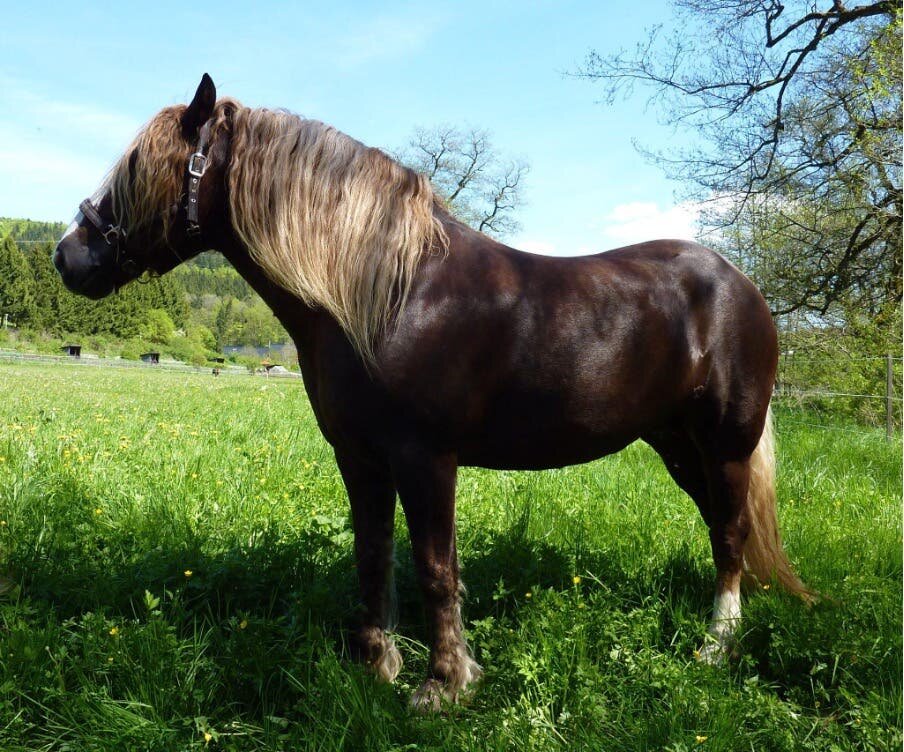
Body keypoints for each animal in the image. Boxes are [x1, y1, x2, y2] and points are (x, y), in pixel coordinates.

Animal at [53, 75, 808, 712]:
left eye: (138, 169)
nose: (67, 256)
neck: (392, 295)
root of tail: (743, 286)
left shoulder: (426, 460)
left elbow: (435, 567)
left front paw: (444, 685)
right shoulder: (360, 459)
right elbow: (372, 555)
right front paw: (373, 666)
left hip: (725, 445)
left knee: (732, 533)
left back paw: (715, 647)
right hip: (677, 446)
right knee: (720, 528)